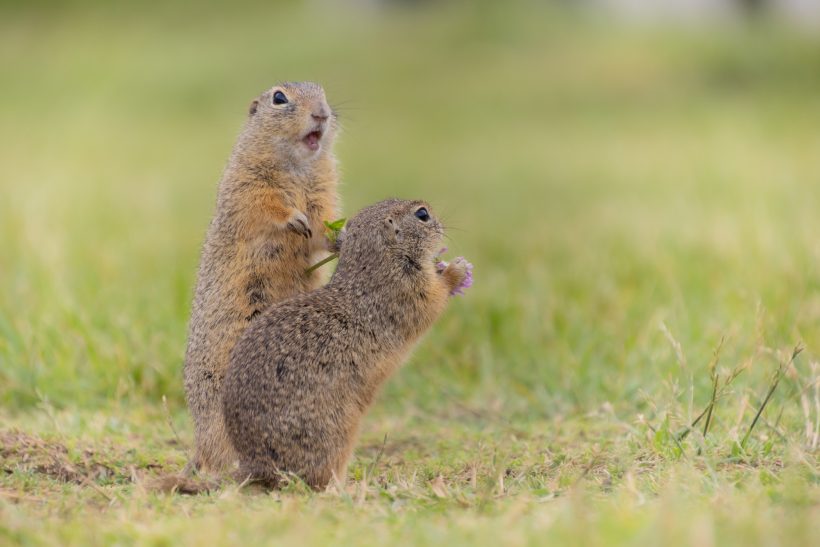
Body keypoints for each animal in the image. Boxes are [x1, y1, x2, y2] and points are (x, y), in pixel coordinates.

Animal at [184, 81, 338, 476]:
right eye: (279, 98)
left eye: (324, 93)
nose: (321, 114)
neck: (297, 166)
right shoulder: (248, 182)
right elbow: (266, 205)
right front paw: (294, 220)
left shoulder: (324, 192)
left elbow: (323, 223)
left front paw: (338, 237)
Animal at [223, 199, 468, 490]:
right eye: (422, 214)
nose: (443, 225)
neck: (375, 262)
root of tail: (254, 465)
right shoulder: (410, 290)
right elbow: (435, 296)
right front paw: (457, 269)